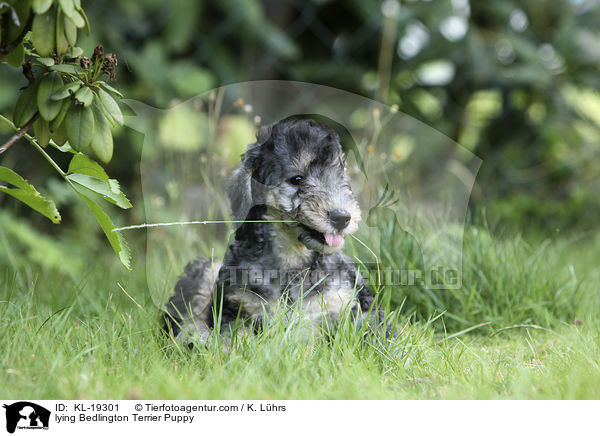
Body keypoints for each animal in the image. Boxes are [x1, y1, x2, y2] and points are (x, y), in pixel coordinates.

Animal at [164, 116, 392, 344]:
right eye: (297, 179)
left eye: (340, 177)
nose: (342, 217)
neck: (293, 258)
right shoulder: (237, 306)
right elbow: (236, 338)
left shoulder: (353, 302)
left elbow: (375, 332)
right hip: (205, 272)